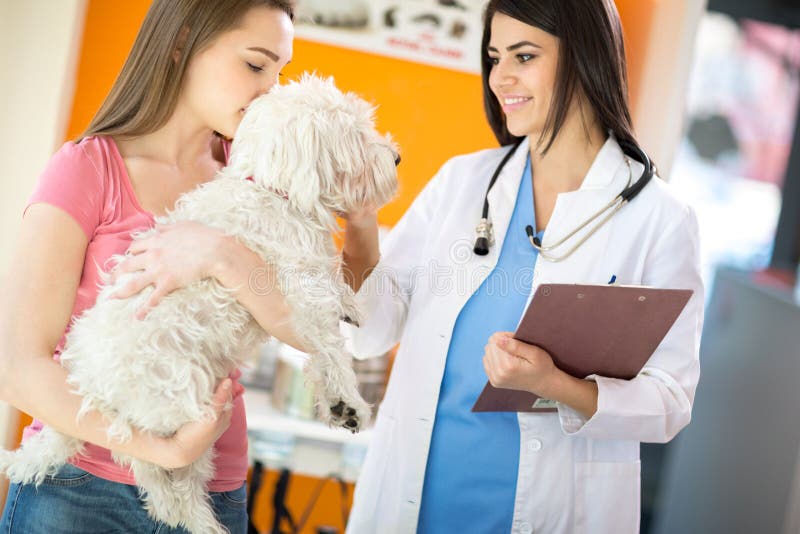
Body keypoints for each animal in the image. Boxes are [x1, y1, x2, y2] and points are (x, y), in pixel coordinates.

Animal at [0, 75, 400, 534]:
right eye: (358, 134)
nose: (397, 157)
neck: (269, 189)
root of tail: (88, 390)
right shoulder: (301, 295)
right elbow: (331, 352)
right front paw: (347, 404)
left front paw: (351, 306)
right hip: (183, 406)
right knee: (147, 463)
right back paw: (199, 519)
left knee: (163, 485)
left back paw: (200, 520)